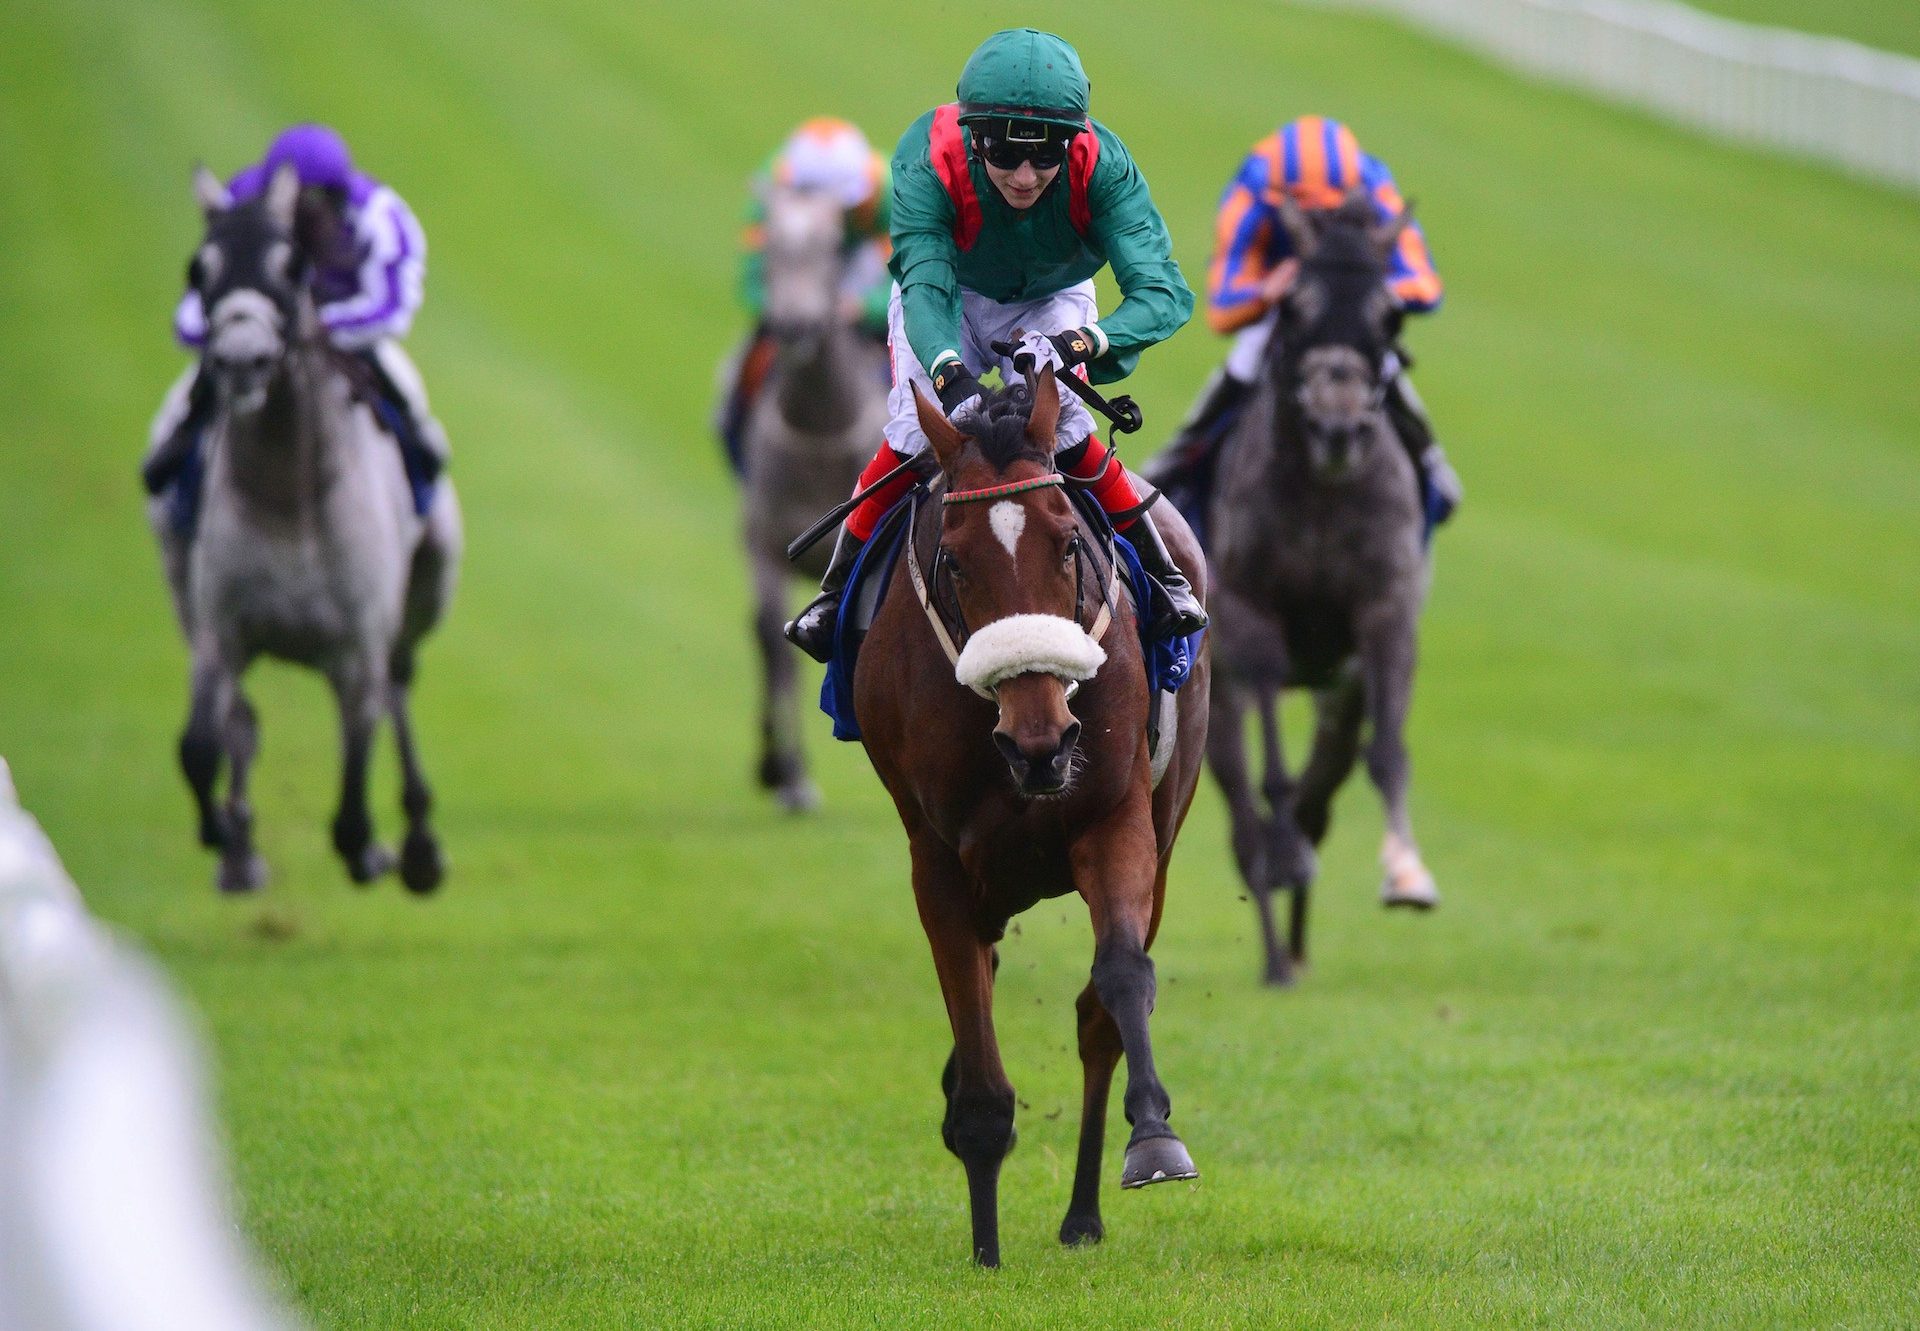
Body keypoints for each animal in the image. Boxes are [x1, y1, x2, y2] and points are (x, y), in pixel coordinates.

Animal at [147, 166, 462, 891]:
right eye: (198, 269)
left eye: (292, 267)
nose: (241, 360)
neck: (288, 496)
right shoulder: (220, 632)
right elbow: (199, 746)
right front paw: (224, 833)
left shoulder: (358, 646)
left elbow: (355, 779)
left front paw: (369, 848)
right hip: (181, 584)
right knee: (240, 723)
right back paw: (240, 845)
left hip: (430, 581)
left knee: (401, 681)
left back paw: (419, 842)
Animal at [733, 187, 890, 810]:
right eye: (772, 244)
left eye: (831, 249)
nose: (794, 323)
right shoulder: (766, 545)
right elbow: (774, 646)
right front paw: (787, 772)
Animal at [852, 368, 1205, 1259]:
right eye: (954, 558)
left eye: (1068, 542)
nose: (1041, 741)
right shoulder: (938, 861)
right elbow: (978, 1065)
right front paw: (985, 1246)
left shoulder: (1115, 819)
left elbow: (1120, 978)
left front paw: (1155, 1138)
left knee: (1096, 1013)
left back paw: (1083, 1212)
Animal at [1198, 194, 1443, 983]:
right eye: (1295, 307)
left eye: (1390, 316)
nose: (1339, 428)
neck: (1322, 495)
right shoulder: (1249, 615)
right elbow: (1271, 778)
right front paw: (1284, 858)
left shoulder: (1385, 614)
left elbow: (1385, 753)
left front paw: (1407, 873)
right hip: (1213, 698)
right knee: (1242, 816)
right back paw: (1277, 953)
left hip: (1337, 691)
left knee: (1321, 794)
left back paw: (1299, 942)